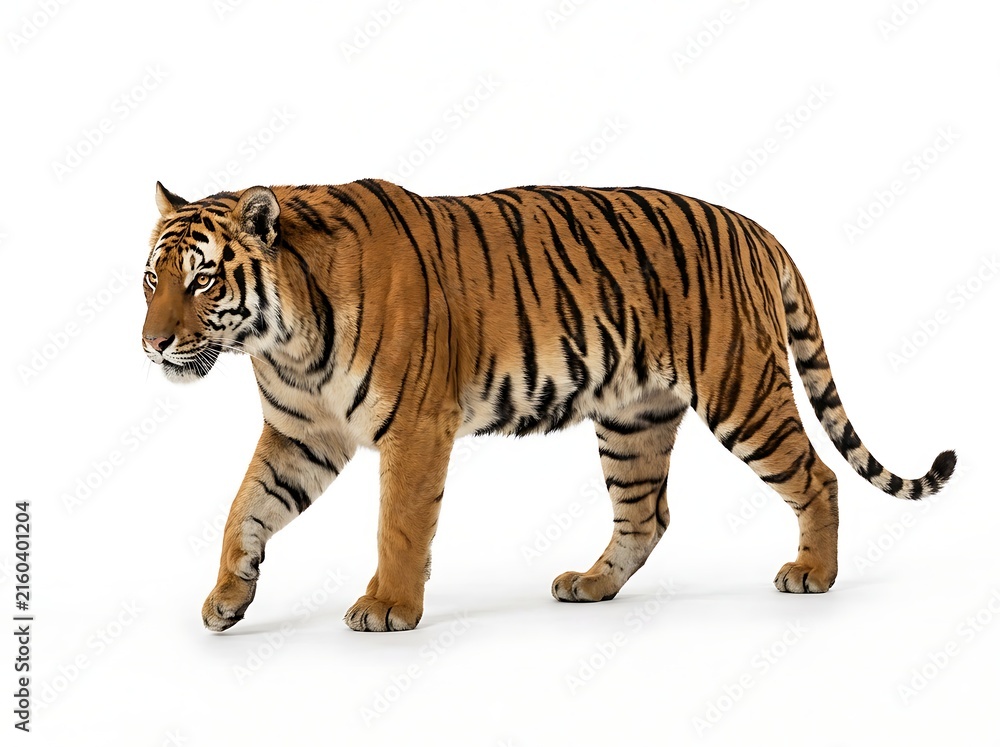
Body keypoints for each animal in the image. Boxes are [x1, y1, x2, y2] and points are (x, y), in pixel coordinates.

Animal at [141, 179, 956, 633]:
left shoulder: (415, 427)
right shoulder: (300, 435)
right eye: (153, 279)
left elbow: (398, 525)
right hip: (633, 418)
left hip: (741, 390)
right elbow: (245, 509)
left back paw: (812, 572)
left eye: (203, 279)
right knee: (646, 516)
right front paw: (226, 597)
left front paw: (388, 608)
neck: (283, 340)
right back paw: (591, 585)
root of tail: (754, 228)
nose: (152, 344)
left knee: (817, 476)